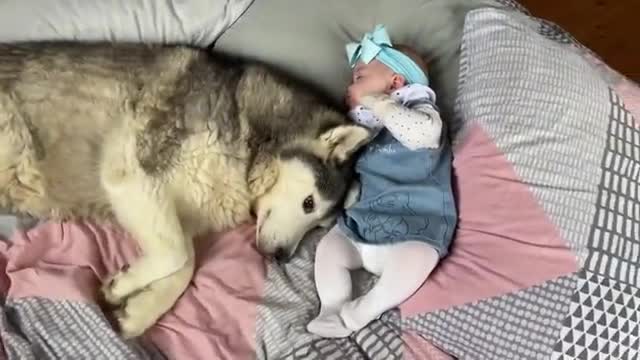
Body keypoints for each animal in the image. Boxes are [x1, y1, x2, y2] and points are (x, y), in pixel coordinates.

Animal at [0, 42, 370, 338]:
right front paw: (124, 287)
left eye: (320, 227)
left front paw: (139, 310)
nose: (281, 258)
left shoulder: (180, 213)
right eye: (308, 203)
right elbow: (176, 254)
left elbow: (185, 264)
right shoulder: (132, 173)